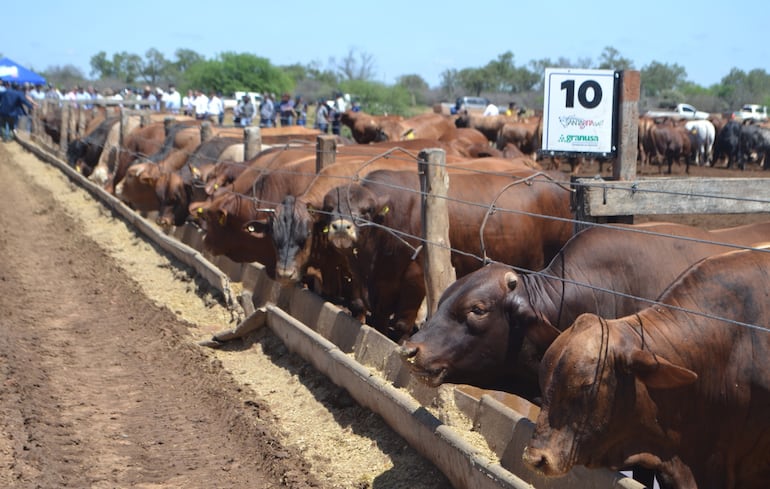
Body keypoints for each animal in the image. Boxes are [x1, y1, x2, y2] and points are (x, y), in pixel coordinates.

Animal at [312, 164, 568, 340]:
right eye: (329, 208)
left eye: (366, 210)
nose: (341, 227)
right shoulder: (376, 282)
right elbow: (375, 317)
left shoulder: (413, 278)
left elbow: (401, 324)